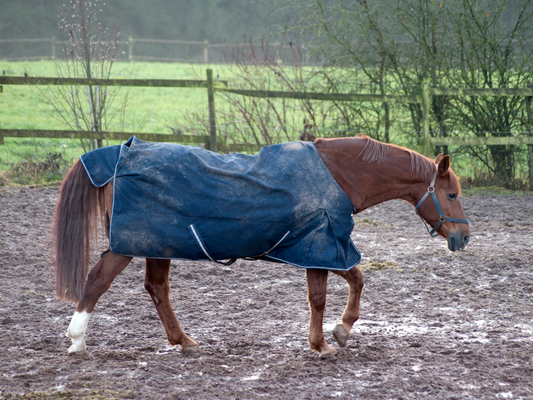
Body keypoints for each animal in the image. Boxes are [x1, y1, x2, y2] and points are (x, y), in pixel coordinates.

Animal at [52, 137, 468, 356]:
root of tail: (120, 155)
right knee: (98, 281)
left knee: (156, 289)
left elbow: (355, 280)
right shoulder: (321, 245)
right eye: (451, 194)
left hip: (159, 246)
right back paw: (76, 339)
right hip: (132, 244)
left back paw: (183, 341)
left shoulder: (326, 247)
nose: (463, 237)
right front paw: (325, 341)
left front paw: (340, 330)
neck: (340, 175)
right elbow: (324, 296)